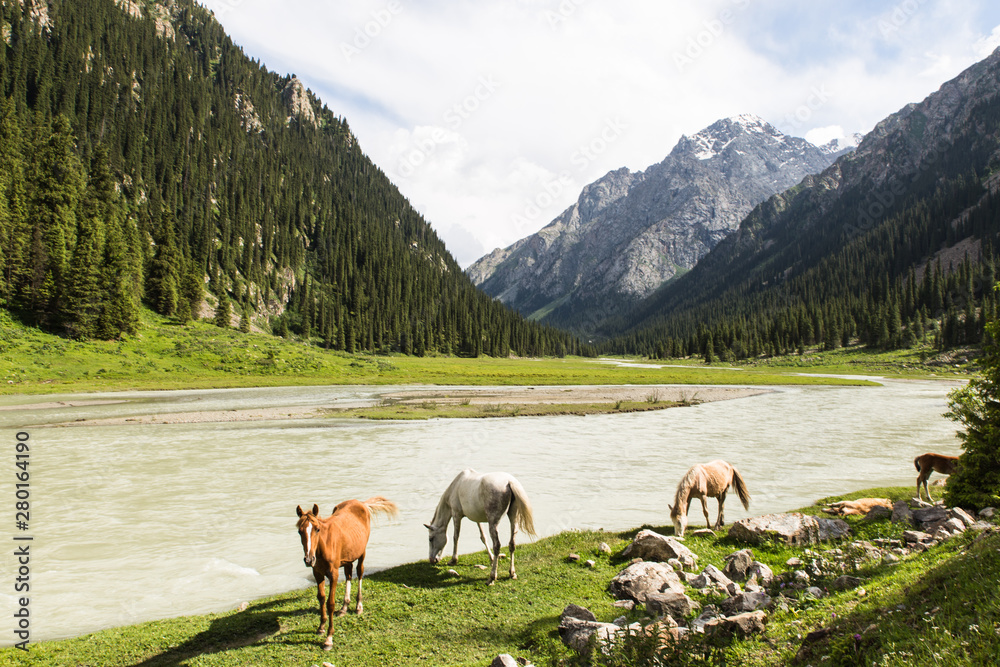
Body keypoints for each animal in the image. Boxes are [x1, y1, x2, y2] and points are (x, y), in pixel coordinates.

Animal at [295, 496, 398, 648]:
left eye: (317, 529)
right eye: (299, 531)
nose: (309, 559)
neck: (323, 546)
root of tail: (361, 503)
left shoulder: (333, 574)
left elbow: (330, 603)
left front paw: (329, 638)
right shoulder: (317, 573)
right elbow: (321, 598)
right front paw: (321, 627)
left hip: (362, 552)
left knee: (359, 573)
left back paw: (358, 606)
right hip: (349, 555)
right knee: (349, 574)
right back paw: (344, 607)